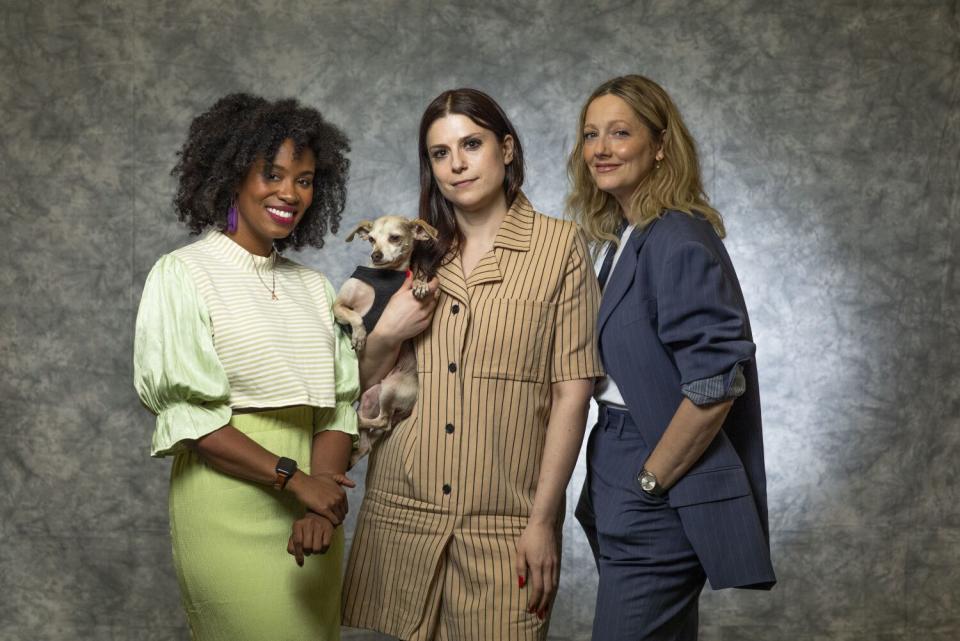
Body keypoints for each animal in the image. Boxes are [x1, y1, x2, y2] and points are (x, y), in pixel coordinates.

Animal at [330, 218, 436, 462]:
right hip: (371, 398)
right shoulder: (339, 306)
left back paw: (357, 423)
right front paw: (359, 335)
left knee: (384, 423)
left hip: (389, 388)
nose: (375, 255)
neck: (384, 276)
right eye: (371, 239)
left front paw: (421, 284)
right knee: (370, 439)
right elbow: (356, 316)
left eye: (395, 237)